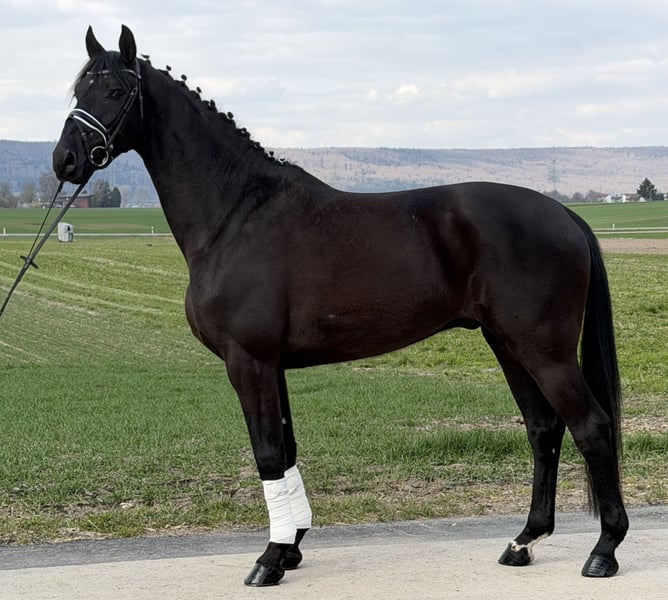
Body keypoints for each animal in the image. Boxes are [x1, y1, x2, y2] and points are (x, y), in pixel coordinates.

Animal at [52, 25, 628, 587]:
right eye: (78, 91)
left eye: (117, 91)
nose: (66, 160)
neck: (237, 213)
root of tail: (564, 214)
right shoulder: (273, 366)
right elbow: (286, 451)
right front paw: (290, 549)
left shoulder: (249, 361)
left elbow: (267, 454)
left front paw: (269, 559)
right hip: (508, 344)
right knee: (543, 429)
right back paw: (524, 541)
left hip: (545, 351)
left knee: (591, 427)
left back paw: (604, 550)